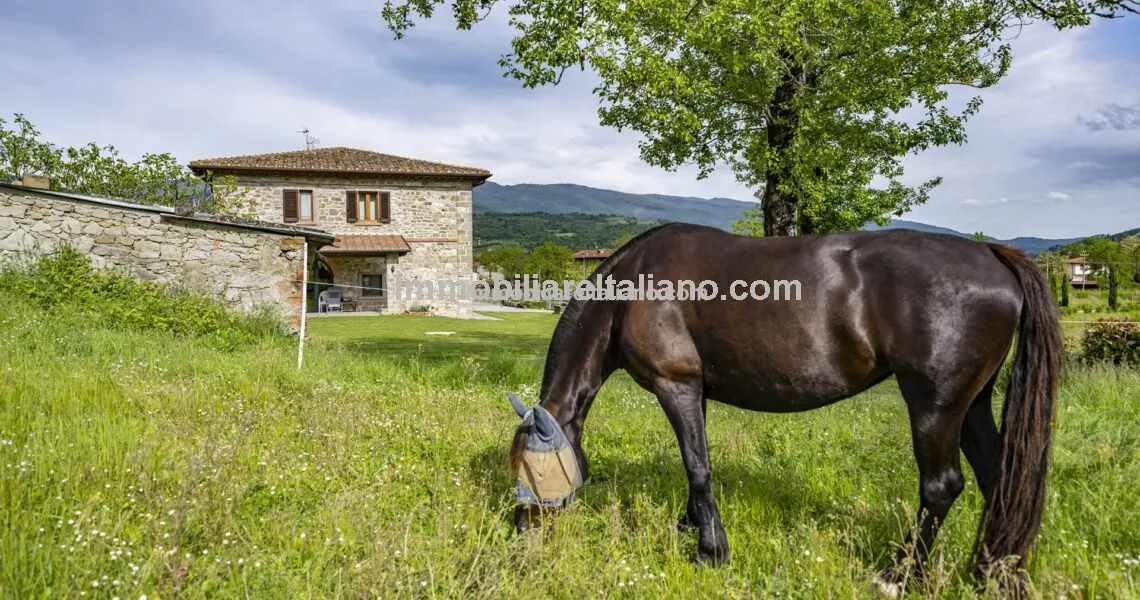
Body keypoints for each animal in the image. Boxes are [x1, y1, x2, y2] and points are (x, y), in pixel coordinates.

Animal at [506, 223, 1061, 592]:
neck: (633, 288)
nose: (519, 535)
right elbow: (697, 467)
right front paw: (694, 526)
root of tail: (991, 253)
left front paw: (711, 552)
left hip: (935, 405)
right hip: (973, 405)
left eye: (531, 472)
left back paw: (898, 576)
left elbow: (698, 467)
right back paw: (994, 576)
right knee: (999, 480)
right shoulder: (697, 394)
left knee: (941, 487)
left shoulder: (676, 385)